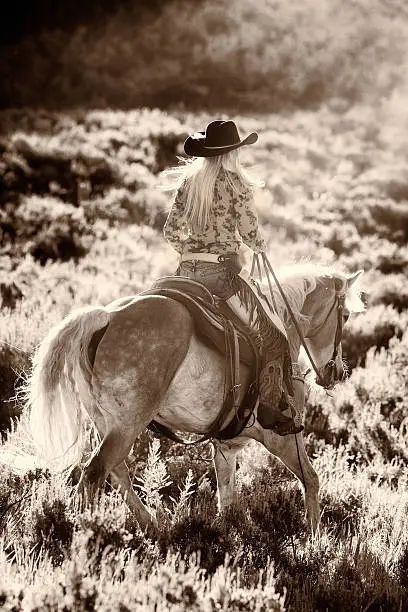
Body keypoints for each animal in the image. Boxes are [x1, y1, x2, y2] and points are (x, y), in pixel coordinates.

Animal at [26, 262, 364, 532]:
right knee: (95, 473)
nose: (336, 372)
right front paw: (314, 540)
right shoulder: (283, 437)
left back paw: (151, 524)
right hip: (126, 424)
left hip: (105, 423)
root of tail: (105, 317)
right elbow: (311, 479)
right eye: (345, 316)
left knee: (117, 471)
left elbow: (227, 500)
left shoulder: (226, 446)